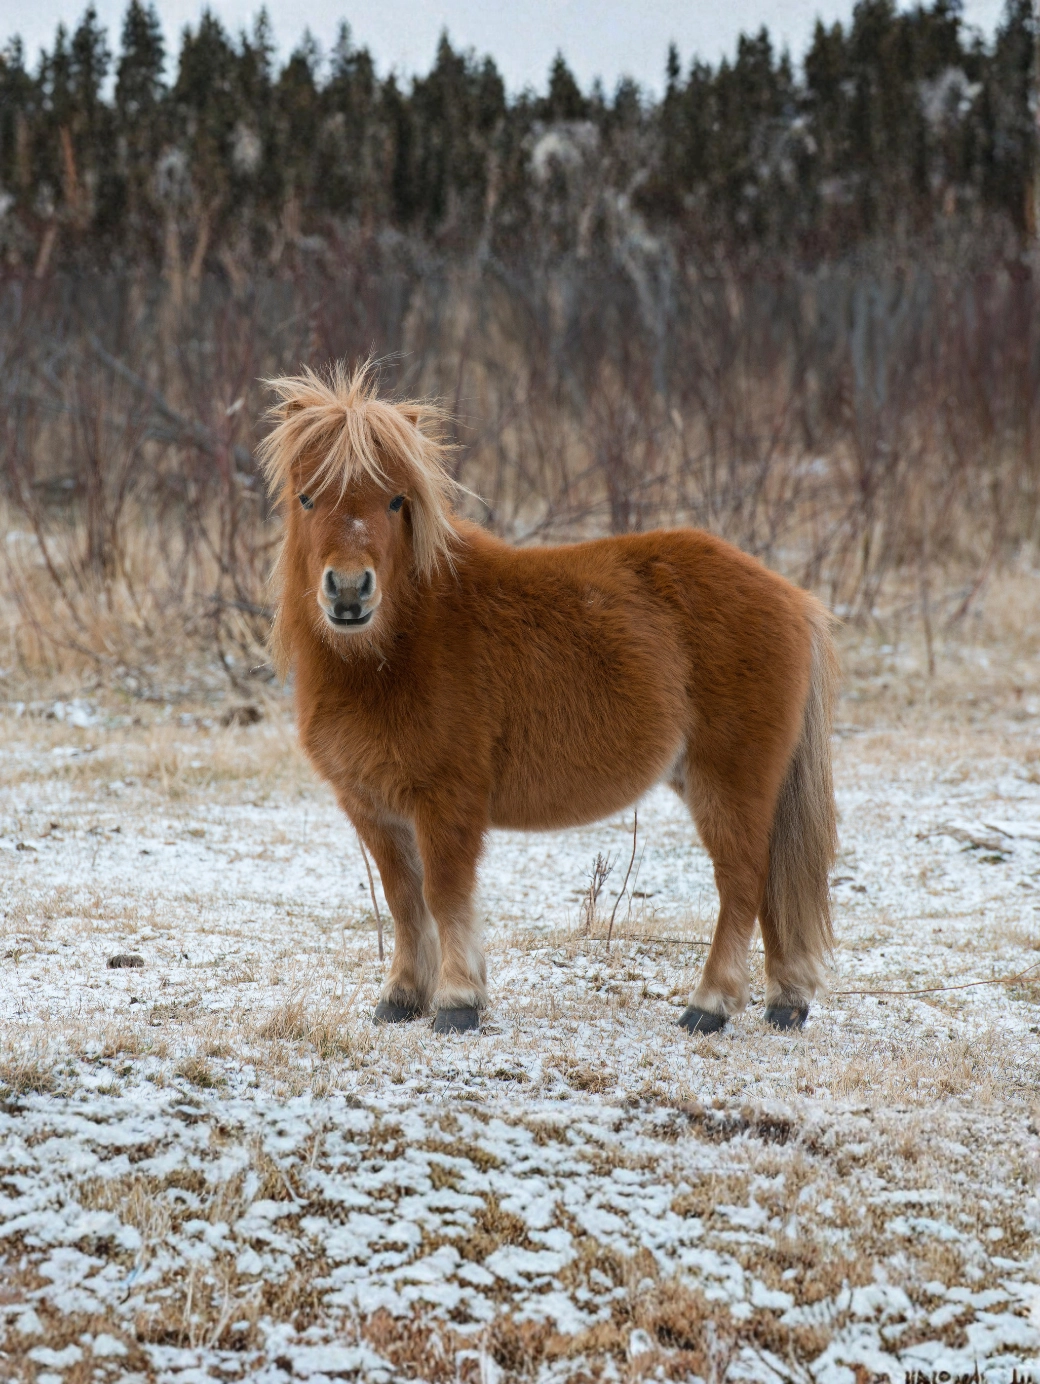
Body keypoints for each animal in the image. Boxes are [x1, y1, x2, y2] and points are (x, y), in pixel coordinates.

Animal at [258, 363, 839, 1036]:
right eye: (306, 497)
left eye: (395, 500)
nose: (350, 592)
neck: (394, 650)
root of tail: (791, 597)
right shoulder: (372, 807)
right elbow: (404, 900)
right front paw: (401, 998)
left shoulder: (446, 801)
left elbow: (444, 895)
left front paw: (457, 1003)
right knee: (771, 886)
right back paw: (786, 1002)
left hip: (729, 781)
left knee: (743, 882)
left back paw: (709, 1006)